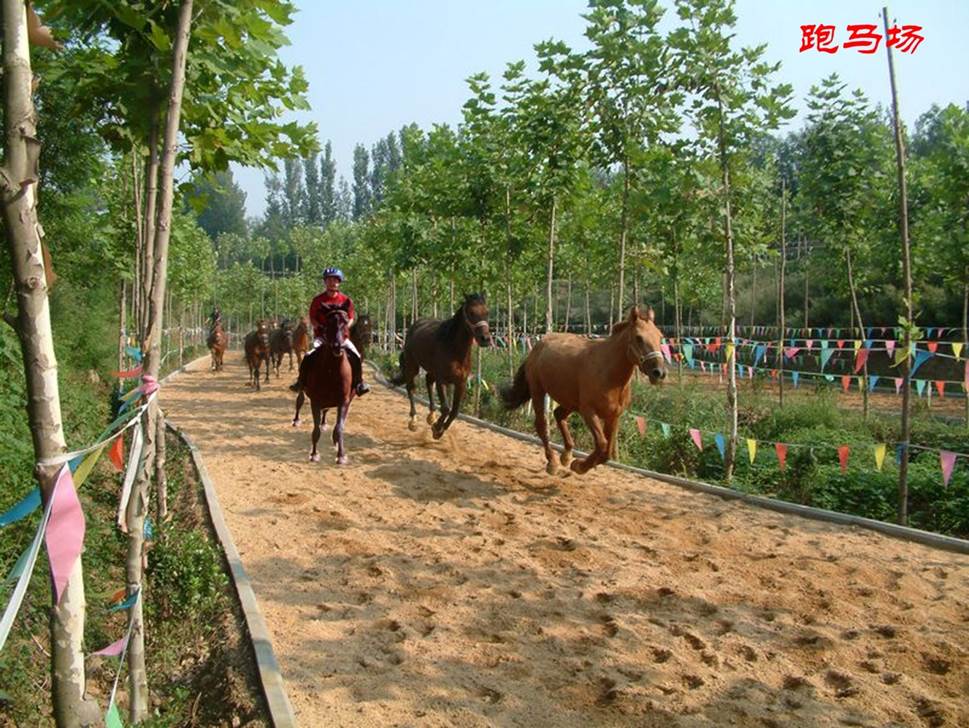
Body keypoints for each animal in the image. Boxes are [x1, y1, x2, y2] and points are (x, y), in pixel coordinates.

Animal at [294, 298, 360, 464]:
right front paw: (314, 454)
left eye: (345, 321)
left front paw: (341, 455)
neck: (332, 369)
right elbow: (315, 429)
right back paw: (296, 420)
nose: (337, 346)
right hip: (304, 389)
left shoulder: (344, 401)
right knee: (299, 400)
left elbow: (339, 427)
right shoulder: (315, 401)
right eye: (328, 322)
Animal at [390, 294, 492, 438]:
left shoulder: (461, 383)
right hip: (412, 366)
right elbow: (445, 408)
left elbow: (455, 411)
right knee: (411, 388)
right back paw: (413, 421)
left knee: (428, 381)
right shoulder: (442, 380)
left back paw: (431, 416)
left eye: (487, 312)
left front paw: (439, 429)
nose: (485, 339)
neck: (454, 350)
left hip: (431, 370)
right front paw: (437, 428)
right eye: (471, 312)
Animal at [500, 304, 664, 474]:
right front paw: (579, 465)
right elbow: (602, 444)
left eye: (660, 337)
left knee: (558, 414)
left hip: (570, 401)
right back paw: (552, 462)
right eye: (639, 337)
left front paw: (578, 463)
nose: (659, 372)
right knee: (542, 425)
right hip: (538, 391)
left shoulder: (613, 416)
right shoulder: (588, 412)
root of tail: (538, 346)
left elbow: (607, 452)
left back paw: (566, 456)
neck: (608, 374)